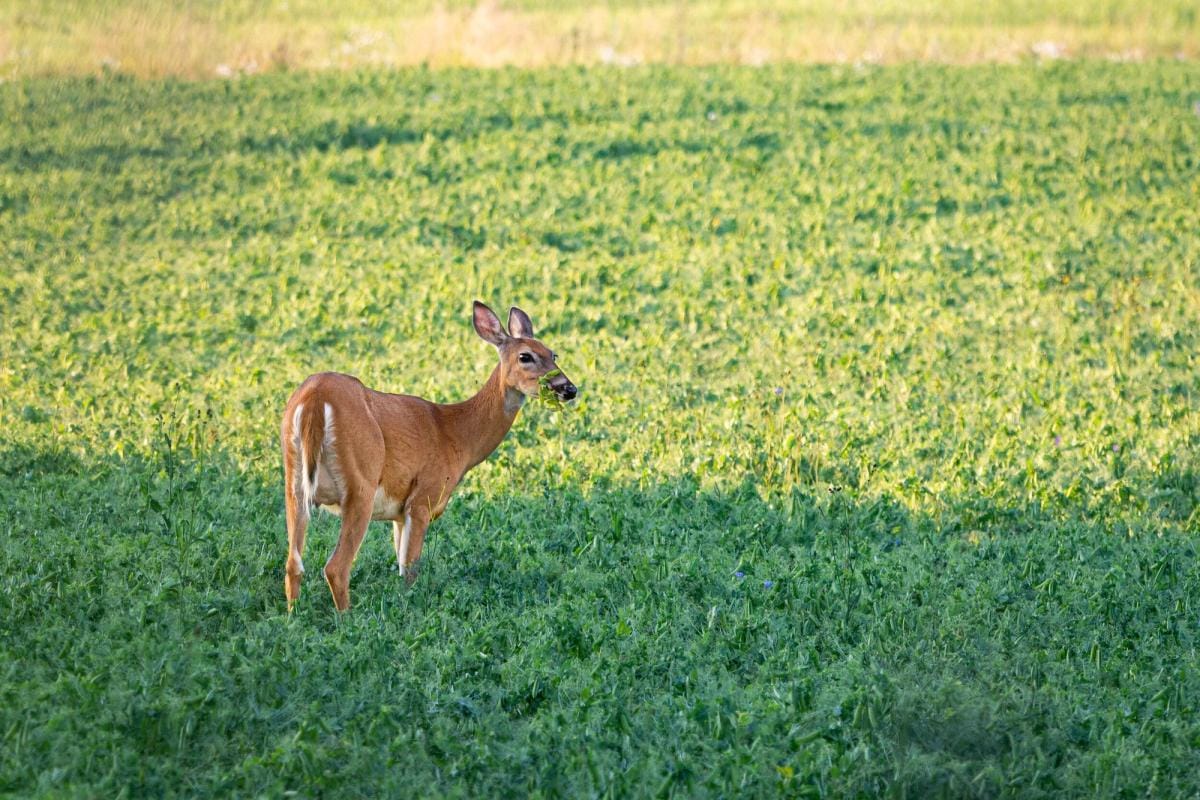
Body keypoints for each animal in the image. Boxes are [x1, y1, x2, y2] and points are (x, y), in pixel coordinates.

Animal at [280, 301, 577, 611]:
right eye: (525, 356)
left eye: (553, 353)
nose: (569, 389)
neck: (456, 436)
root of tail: (315, 399)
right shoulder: (423, 498)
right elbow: (410, 569)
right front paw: (406, 606)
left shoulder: (398, 513)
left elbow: (400, 565)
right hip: (361, 482)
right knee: (336, 567)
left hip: (294, 481)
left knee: (292, 563)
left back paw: (293, 615)